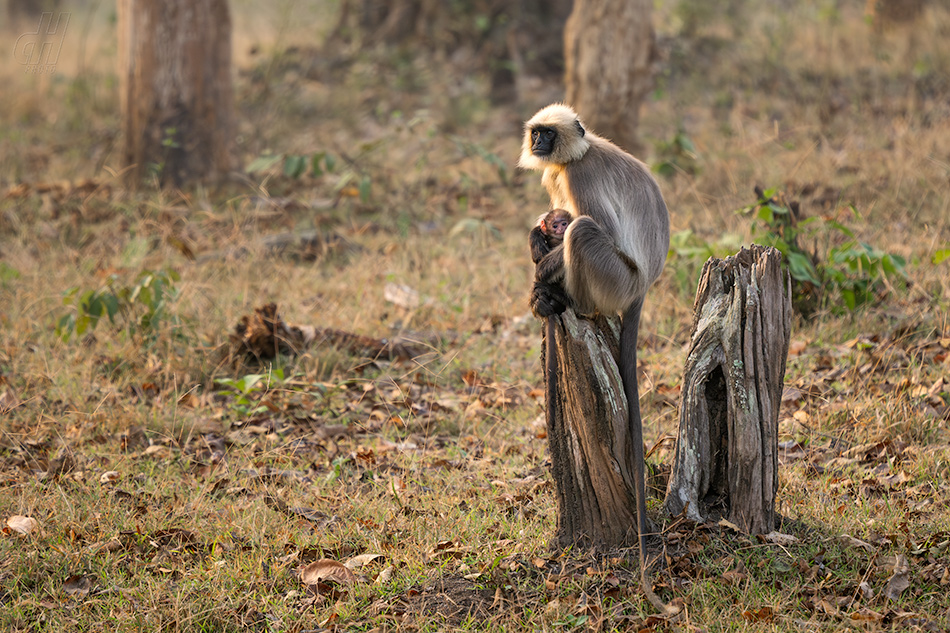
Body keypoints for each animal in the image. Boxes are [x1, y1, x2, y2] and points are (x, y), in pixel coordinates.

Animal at [520, 102, 676, 612]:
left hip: (615, 279)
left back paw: (572, 300)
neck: (576, 153)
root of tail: (644, 285)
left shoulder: (578, 174)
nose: (539, 144)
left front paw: (541, 278)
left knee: (585, 230)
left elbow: (582, 224)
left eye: (548, 135)